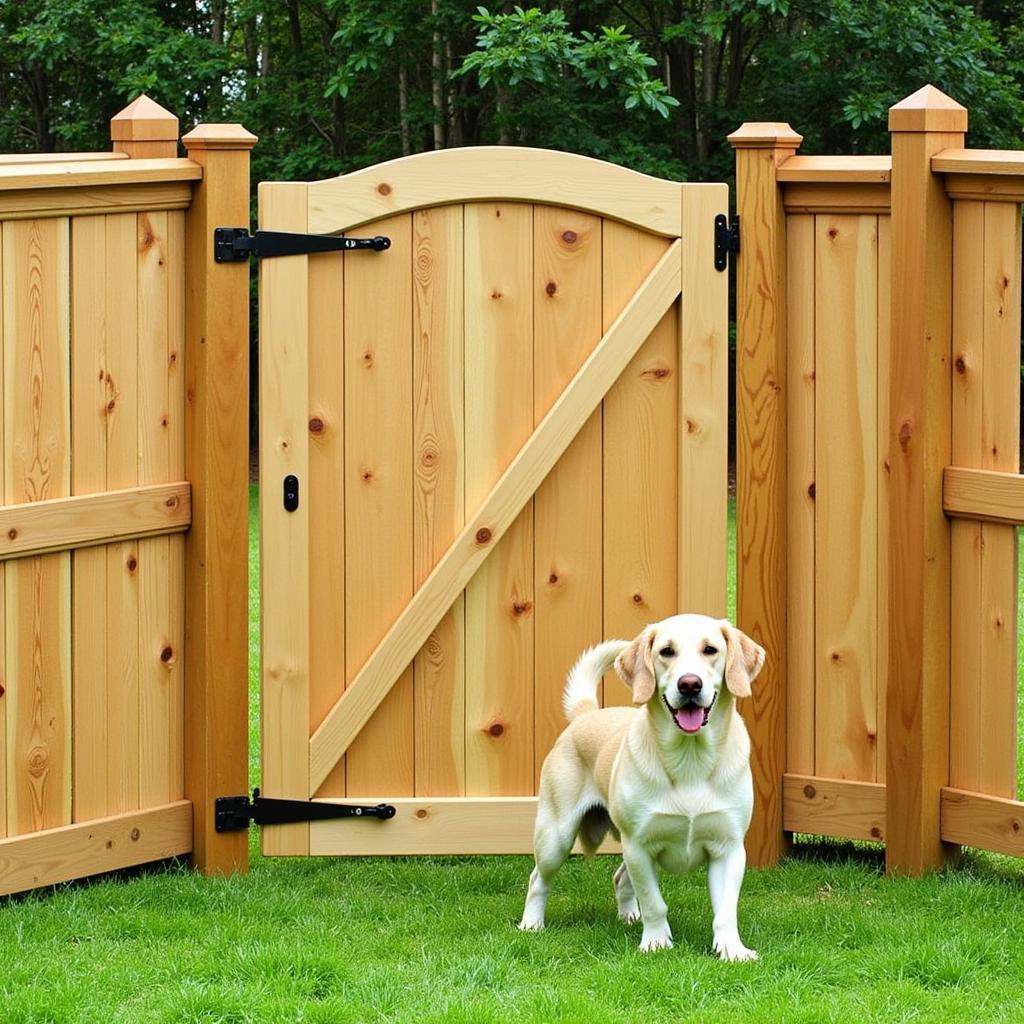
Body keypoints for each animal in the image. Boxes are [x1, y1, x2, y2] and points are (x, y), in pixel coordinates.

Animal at [524, 614, 765, 958]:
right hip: (555, 836)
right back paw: (531, 924)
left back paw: (628, 916)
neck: (690, 759)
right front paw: (656, 942)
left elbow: (725, 911)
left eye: (710, 649)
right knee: (538, 879)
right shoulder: (639, 844)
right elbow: (654, 903)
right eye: (666, 651)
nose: (689, 684)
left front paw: (732, 950)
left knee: (619, 878)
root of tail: (586, 714)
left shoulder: (728, 848)